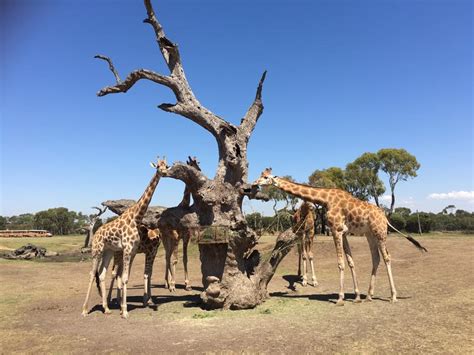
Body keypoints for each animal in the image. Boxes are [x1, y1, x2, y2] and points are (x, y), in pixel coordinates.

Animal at [81, 157, 168, 318]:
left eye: (167, 165)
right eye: (158, 166)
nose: (164, 172)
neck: (136, 218)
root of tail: (95, 234)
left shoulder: (132, 251)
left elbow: (126, 277)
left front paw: (123, 306)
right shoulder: (132, 250)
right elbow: (130, 277)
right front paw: (126, 310)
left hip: (109, 251)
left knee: (102, 274)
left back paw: (106, 308)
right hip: (97, 251)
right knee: (92, 274)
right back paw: (85, 309)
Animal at [258, 169, 428, 306]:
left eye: (265, 177)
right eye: (261, 176)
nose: (255, 183)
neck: (325, 199)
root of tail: (385, 217)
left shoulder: (336, 230)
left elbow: (340, 263)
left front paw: (340, 298)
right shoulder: (343, 232)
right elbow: (351, 261)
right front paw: (357, 296)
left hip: (380, 232)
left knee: (387, 257)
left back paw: (393, 296)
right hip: (369, 234)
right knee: (376, 258)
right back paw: (369, 296)